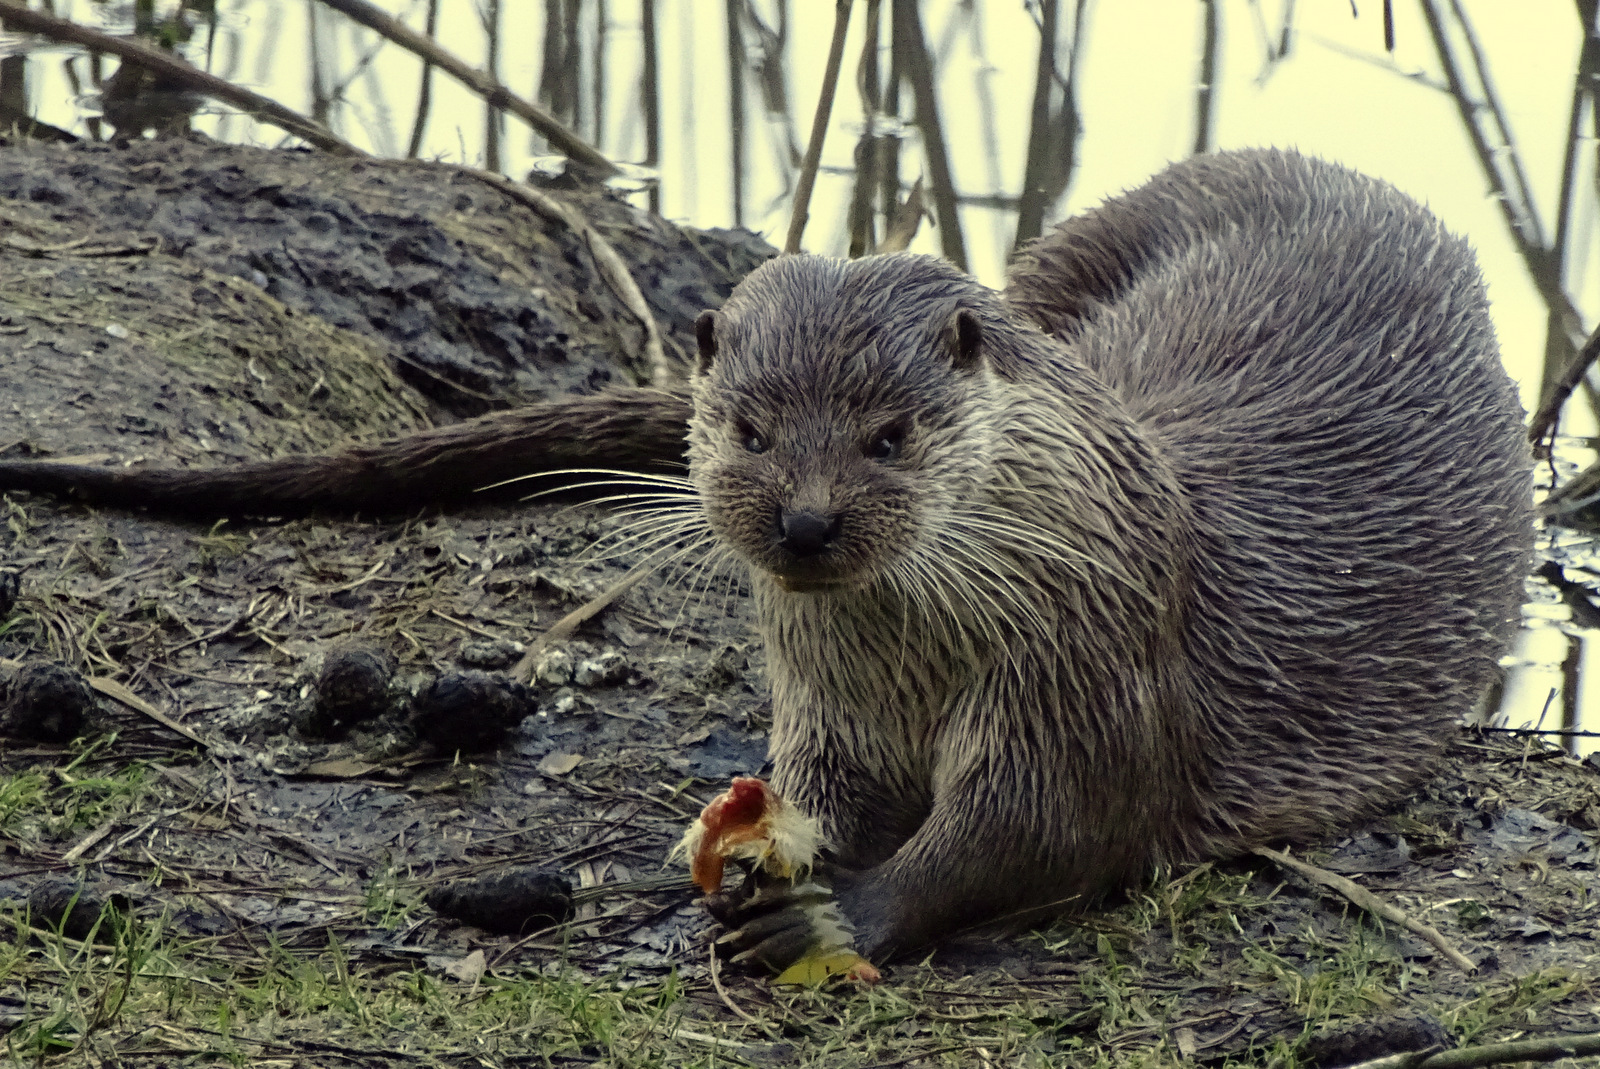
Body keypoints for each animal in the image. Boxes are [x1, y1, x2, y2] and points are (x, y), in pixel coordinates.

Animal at [0, 152, 1529, 966]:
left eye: (890, 434)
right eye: (744, 426)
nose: (802, 520)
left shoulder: (1093, 665)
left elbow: (1040, 825)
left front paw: (835, 915)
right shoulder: (832, 701)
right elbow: (826, 789)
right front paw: (751, 859)